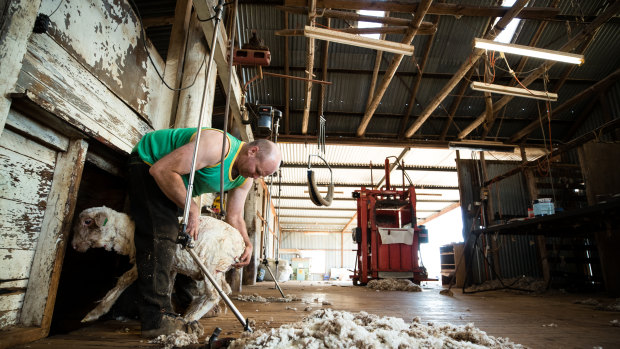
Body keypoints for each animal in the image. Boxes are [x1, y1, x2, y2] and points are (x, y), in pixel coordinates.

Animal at [72, 205, 245, 322]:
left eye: (87, 221)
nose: (73, 246)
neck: (129, 233)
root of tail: (241, 244)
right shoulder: (171, 265)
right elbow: (166, 287)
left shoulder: (146, 258)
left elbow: (123, 280)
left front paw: (93, 313)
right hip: (218, 269)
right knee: (225, 290)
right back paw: (194, 311)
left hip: (211, 265)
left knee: (214, 294)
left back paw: (190, 318)